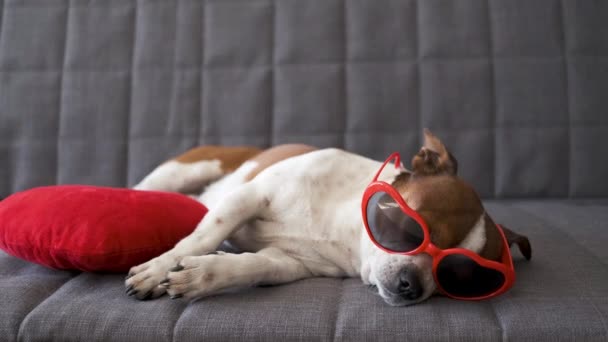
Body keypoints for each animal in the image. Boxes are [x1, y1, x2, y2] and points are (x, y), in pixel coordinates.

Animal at [126, 130, 528, 306]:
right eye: (415, 228)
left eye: (456, 276)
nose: (413, 286)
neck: (348, 230)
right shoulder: (249, 196)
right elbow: (203, 236)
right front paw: (158, 269)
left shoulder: (288, 262)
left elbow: (252, 266)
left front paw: (205, 274)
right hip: (184, 171)